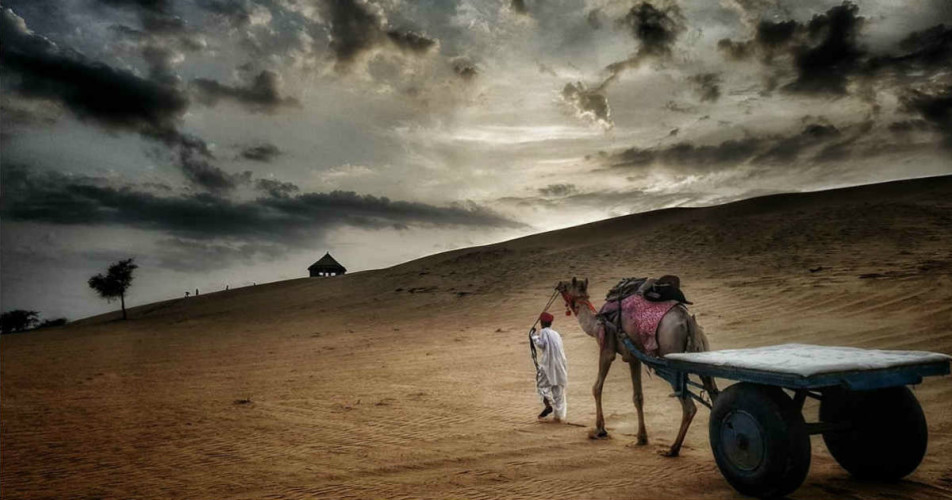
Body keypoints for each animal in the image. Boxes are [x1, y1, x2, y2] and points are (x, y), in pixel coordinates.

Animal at [556, 278, 712, 458]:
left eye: (567, 285)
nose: (558, 285)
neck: (595, 324)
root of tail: (687, 320)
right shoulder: (633, 357)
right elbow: (638, 397)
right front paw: (642, 438)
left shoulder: (607, 346)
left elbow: (597, 387)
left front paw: (599, 430)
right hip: (702, 346)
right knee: (713, 389)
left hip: (672, 357)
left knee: (689, 407)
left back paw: (673, 449)